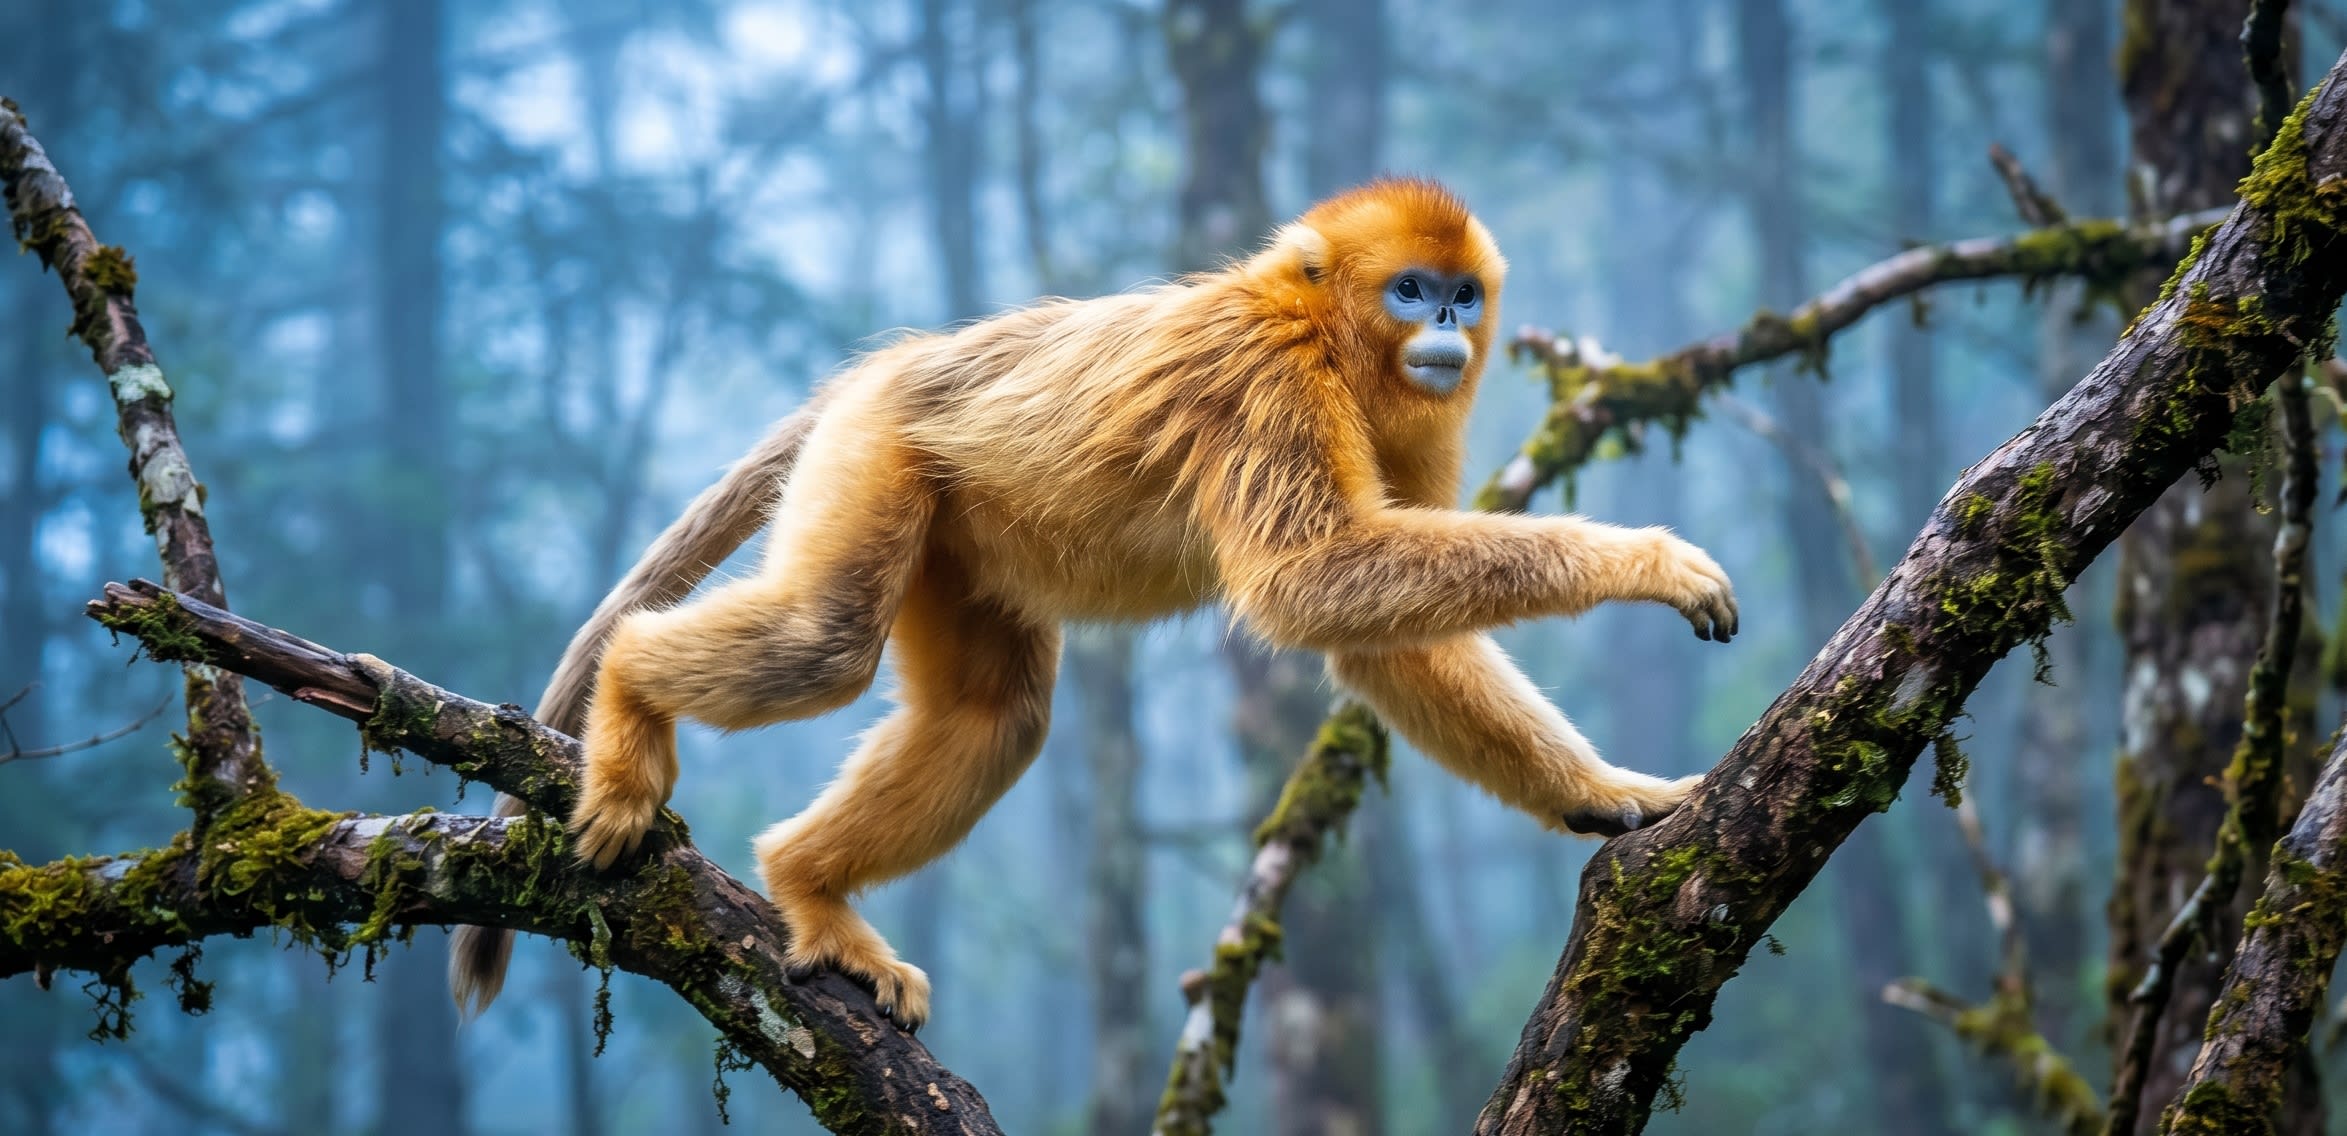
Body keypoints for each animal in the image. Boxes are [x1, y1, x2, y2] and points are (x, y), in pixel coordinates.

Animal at [447, 179, 1737, 1028]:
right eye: (1411, 290)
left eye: (1464, 294)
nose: (1447, 330)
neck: (1322, 334)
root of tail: (893, 365)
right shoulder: (1266, 377)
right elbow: (1308, 583)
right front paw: (1641, 557)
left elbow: (1383, 648)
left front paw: (1603, 792)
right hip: (874, 453)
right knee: (826, 642)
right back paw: (629, 692)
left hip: (952, 526)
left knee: (994, 714)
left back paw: (808, 882)